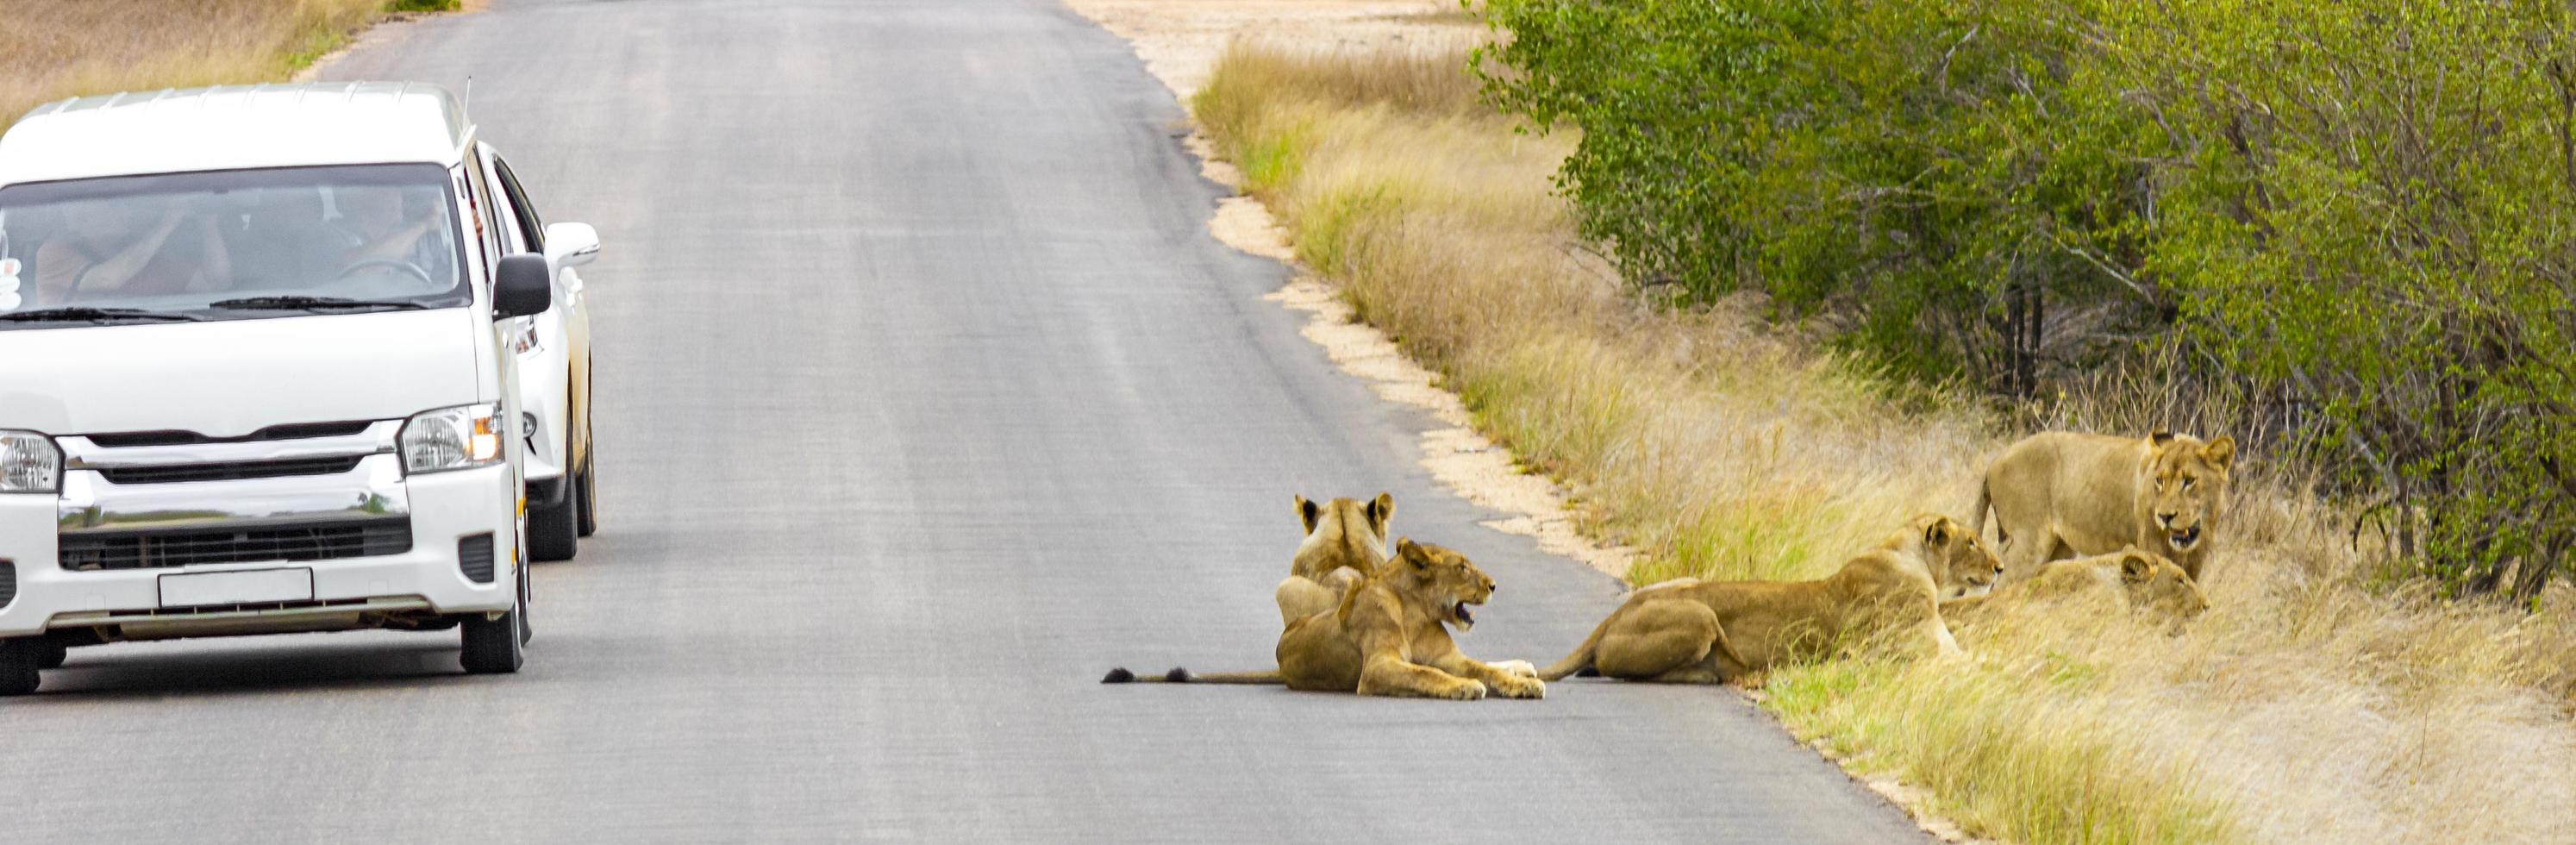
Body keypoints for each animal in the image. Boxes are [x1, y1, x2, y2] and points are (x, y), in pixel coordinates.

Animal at [1097, 541, 1535, 700]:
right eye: (1462, 567)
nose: (1494, 585)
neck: (1417, 611)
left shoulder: (1450, 657)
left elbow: (1481, 667)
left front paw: (1520, 685)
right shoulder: (1376, 669)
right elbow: (1428, 674)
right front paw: (1463, 688)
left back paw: (1527, 669)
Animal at [1535, 515, 1998, 685]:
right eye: (1972, 542)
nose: (2000, 568)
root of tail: (1614, 616)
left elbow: (1980, 659)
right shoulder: (1903, 652)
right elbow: (1973, 665)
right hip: (1701, 616)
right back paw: (1716, 674)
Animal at [1967, 429, 2235, 582]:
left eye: (2189, 481)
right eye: (2159, 480)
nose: (2165, 516)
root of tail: (1994, 462)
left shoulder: (2197, 558)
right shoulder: (2150, 545)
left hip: (2059, 549)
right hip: (2028, 544)